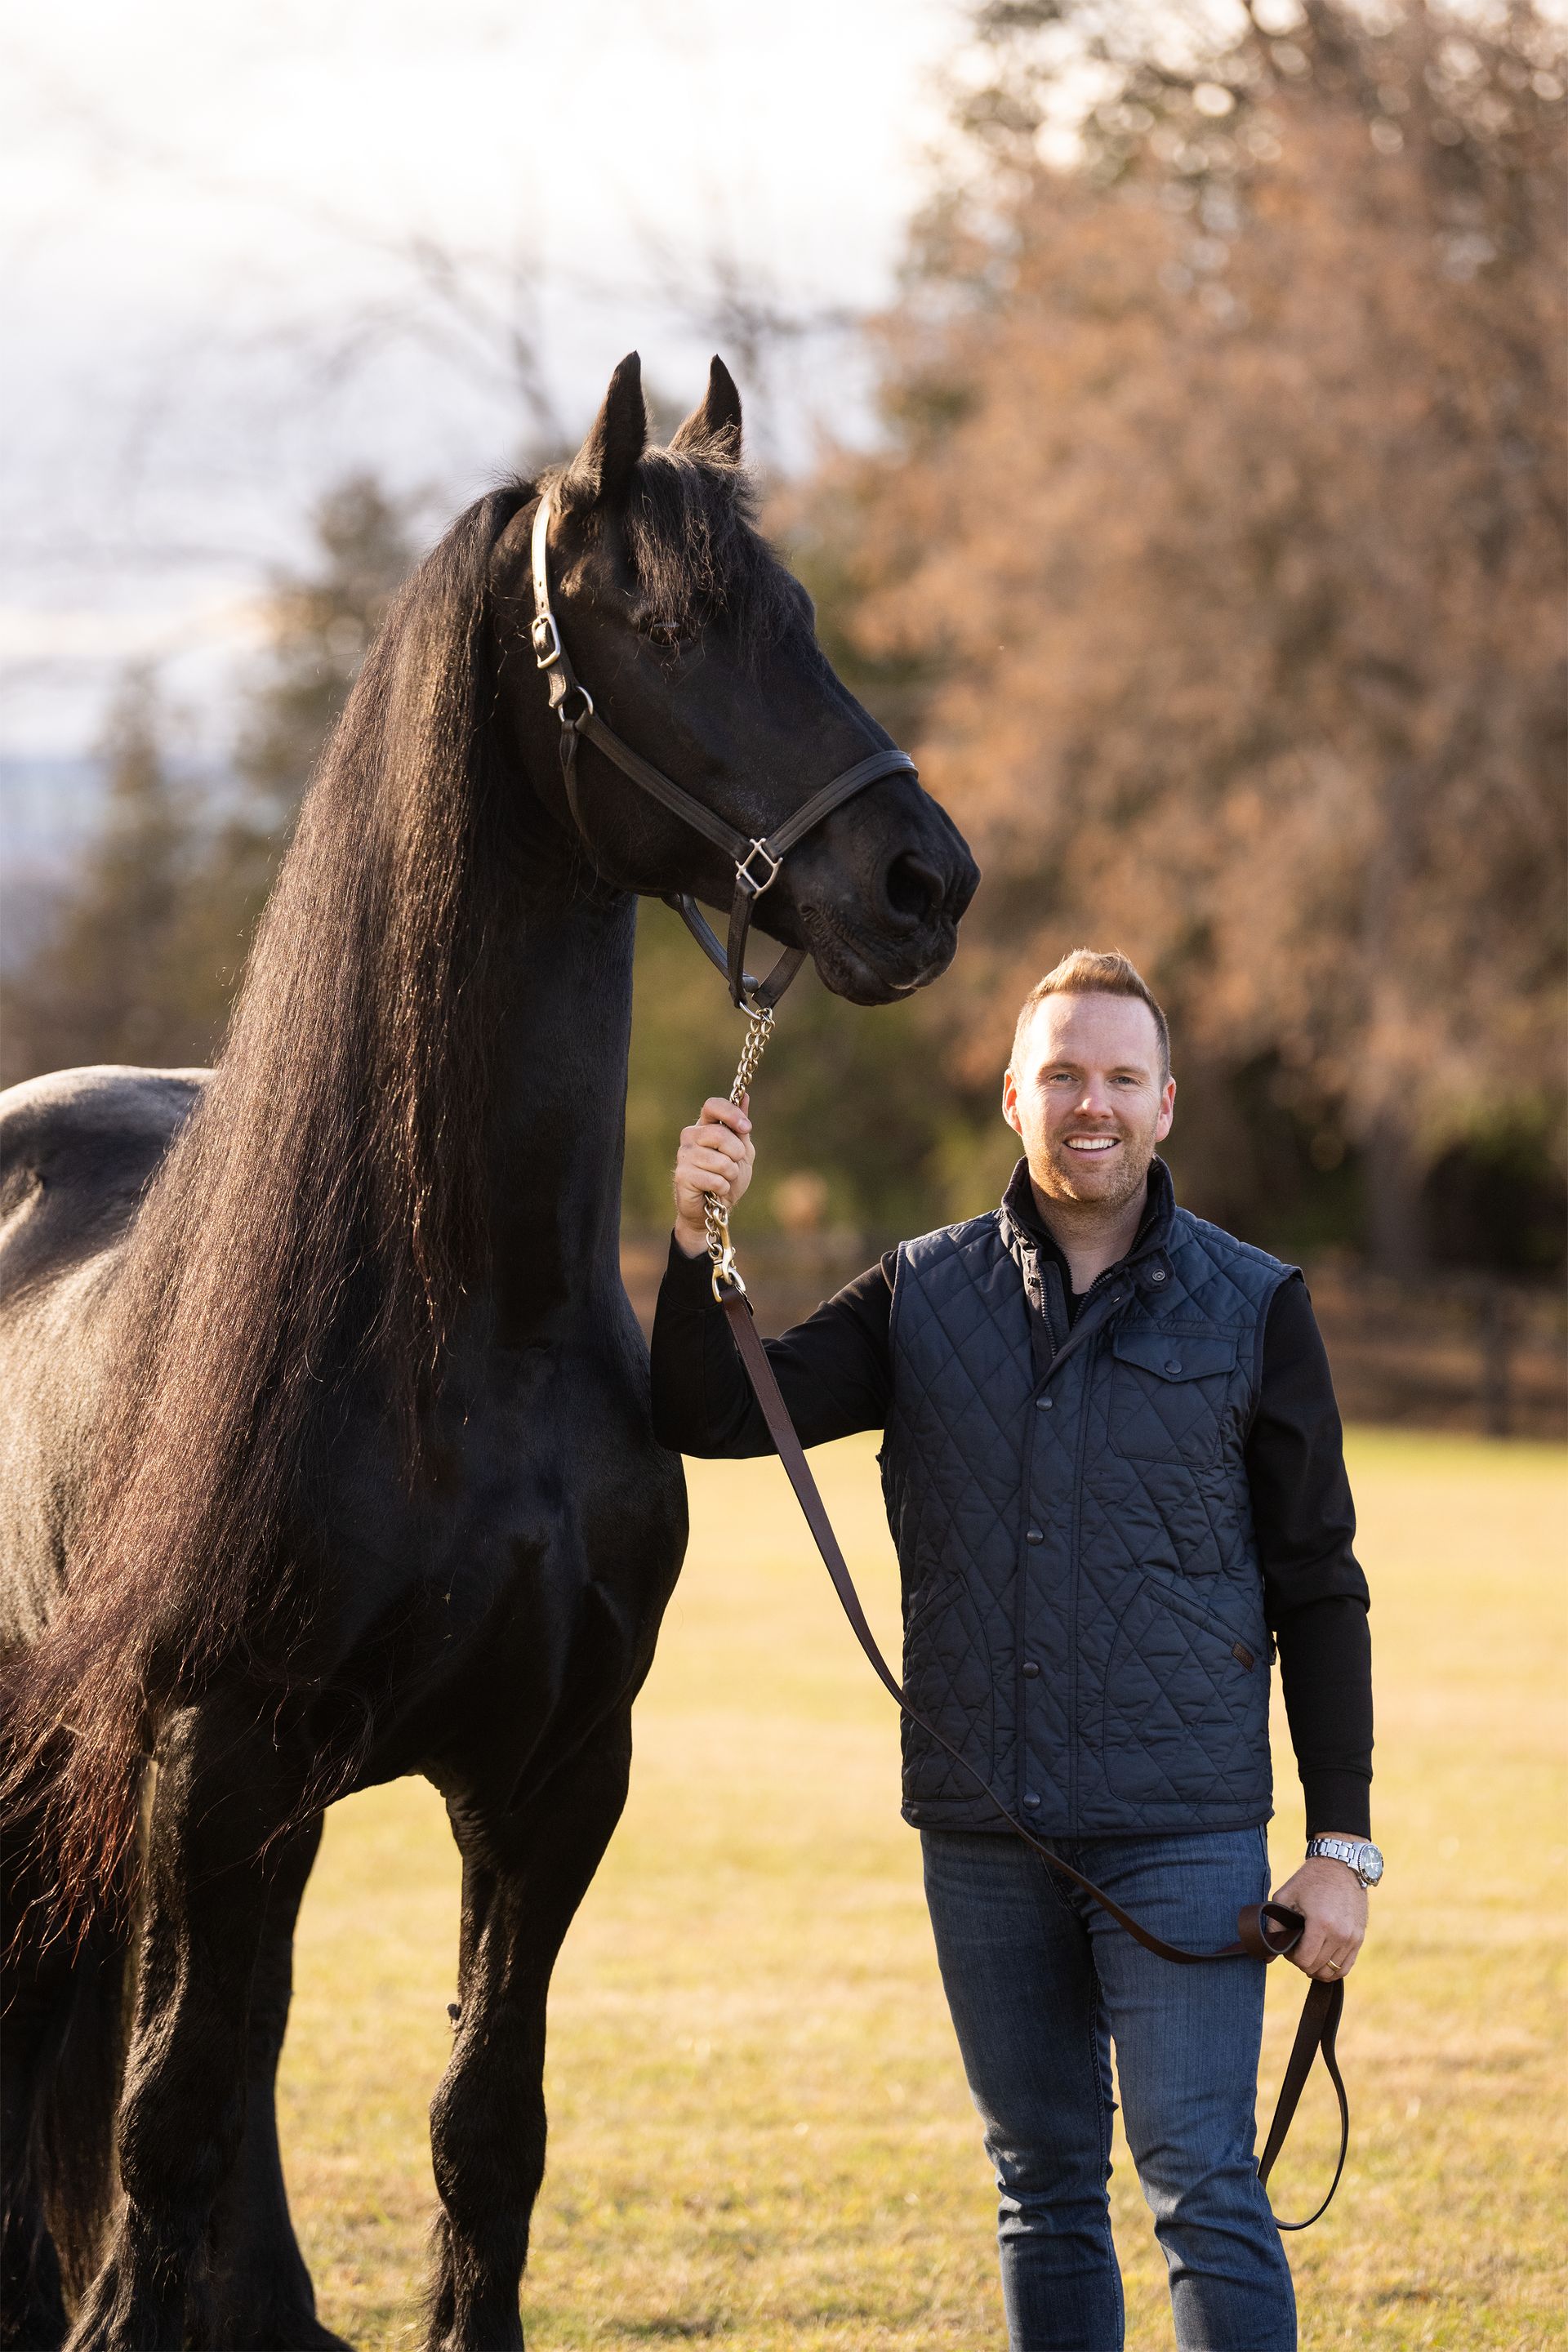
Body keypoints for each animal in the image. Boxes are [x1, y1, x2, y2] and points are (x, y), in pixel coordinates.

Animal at [0, 352, 978, 2352]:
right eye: (669, 621)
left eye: (802, 612)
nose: (927, 881)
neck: (474, 1335)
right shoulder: (218, 1753)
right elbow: (166, 2119)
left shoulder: (552, 1777)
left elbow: (480, 2127)